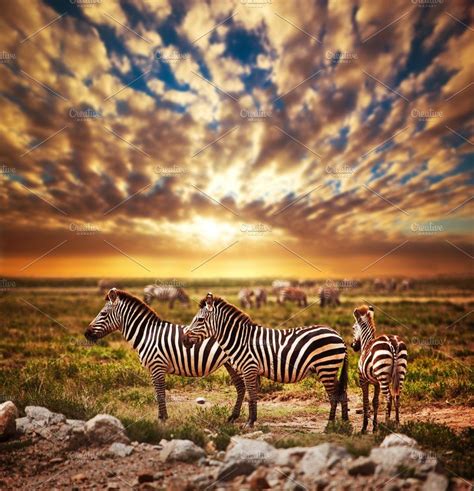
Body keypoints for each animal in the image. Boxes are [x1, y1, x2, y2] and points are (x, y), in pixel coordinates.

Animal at [85, 288, 246, 422]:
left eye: (103, 314)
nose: (86, 333)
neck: (147, 334)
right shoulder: (153, 369)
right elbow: (158, 393)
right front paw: (162, 416)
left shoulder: (157, 365)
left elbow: (160, 393)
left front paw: (163, 418)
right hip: (230, 364)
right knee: (241, 387)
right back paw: (233, 417)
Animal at [183, 294, 350, 428]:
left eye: (200, 320)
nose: (184, 340)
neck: (240, 340)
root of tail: (338, 335)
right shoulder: (250, 370)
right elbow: (251, 395)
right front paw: (252, 420)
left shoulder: (249, 368)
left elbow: (251, 395)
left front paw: (249, 423)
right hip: (330, 369)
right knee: (342, 392)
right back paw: (344, 422)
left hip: (326, 366)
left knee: (333, 395)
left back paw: (330, 425)